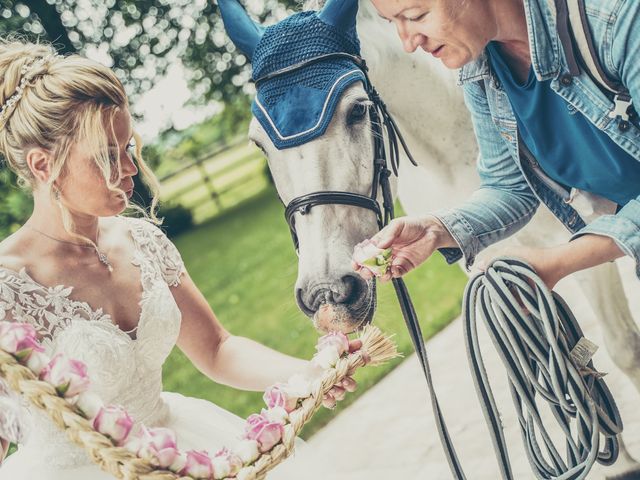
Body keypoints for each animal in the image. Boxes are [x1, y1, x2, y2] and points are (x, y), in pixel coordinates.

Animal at [221, 0, 640, 474]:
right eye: (258, 144)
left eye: (358, 111)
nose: (326, 293)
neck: (454, 140)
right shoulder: (494, 267)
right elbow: (550, 365)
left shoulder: (575, 252)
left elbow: (619, 348)